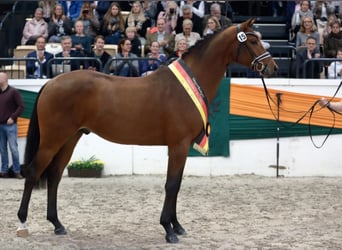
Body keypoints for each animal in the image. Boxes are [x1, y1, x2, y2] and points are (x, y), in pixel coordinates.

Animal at [16, 18, 278, 244]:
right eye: (252, 41)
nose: (272, 67)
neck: (187, 86)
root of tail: (51, 82)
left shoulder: (182, 148)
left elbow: (177, 184)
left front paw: (177, 226)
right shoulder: (178, 146)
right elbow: (171, 185)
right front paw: (168, 230)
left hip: (70, 138)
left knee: (54, 176)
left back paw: (57, 224)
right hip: (52, 140)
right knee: (33, 172)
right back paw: (22, 224)